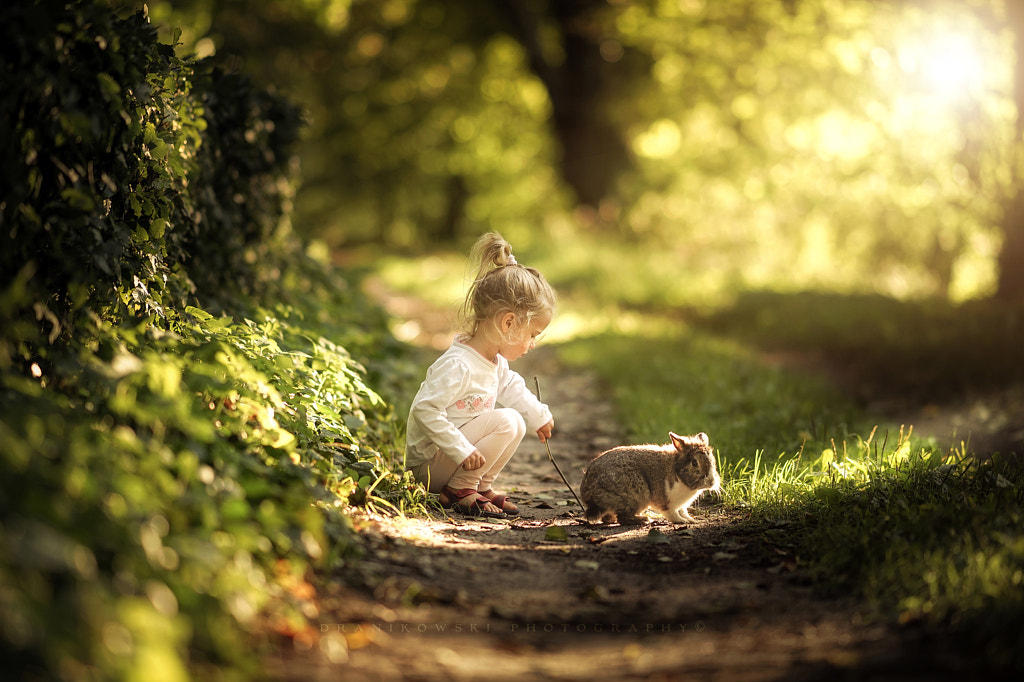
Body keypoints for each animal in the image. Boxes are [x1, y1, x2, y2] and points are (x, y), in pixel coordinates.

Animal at [585, 430, 720, 524]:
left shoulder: (682, 505)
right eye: (694, 463)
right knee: (622, 518)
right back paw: (645, 519)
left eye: (712, 460)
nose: (711, 482)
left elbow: (683, 511)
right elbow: (673, 514)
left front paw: (691, 520)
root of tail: (588, 494)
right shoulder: (667, 502)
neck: (677, 471)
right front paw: (683, 521)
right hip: (638, 495)